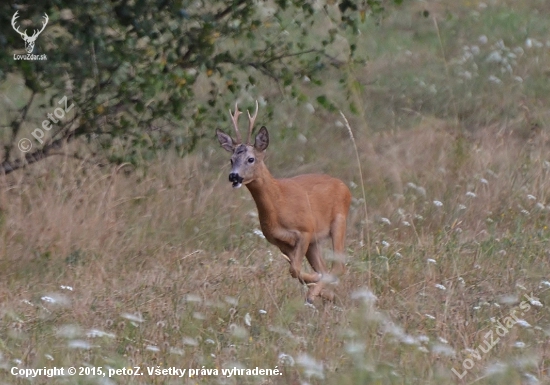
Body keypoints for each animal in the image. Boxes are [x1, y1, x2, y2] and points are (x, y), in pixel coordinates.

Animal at [218, 101, 352, 304]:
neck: (279, 204)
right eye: (231, 159)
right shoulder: (279, 241)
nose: (234, 176)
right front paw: (318, 287)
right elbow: (295, 270)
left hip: (339, 220)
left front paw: (313, 288)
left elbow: (295, 269)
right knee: (325, 268)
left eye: (251, 159)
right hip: (315, 242)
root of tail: (344, 186)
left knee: (338, 266)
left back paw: (317, 294)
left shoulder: (305, 230)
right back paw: (328, 295)